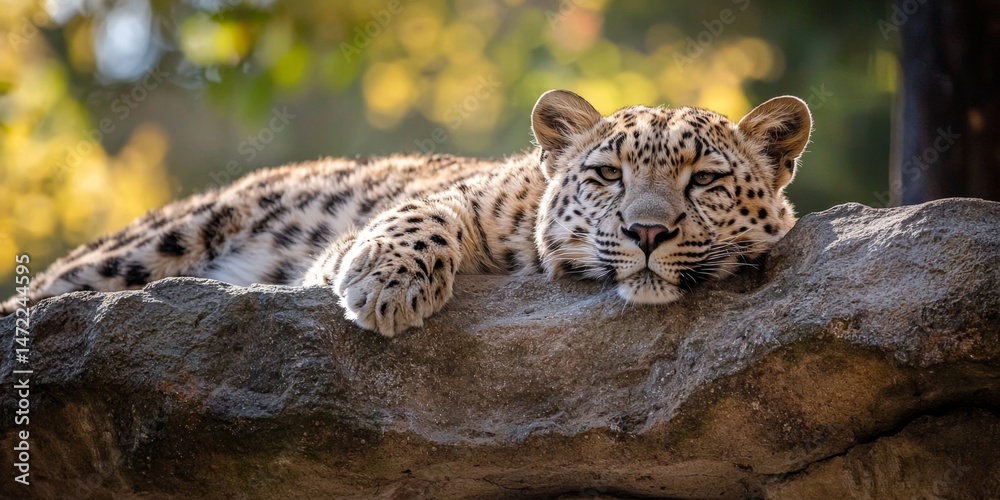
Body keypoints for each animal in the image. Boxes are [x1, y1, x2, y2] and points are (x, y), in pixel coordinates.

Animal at [0, 90, 811, 337]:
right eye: (608, 175)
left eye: (705, 181)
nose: (647, 232)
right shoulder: (426, 208)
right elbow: (423, 211)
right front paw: (388, 290)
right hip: (161, 239)